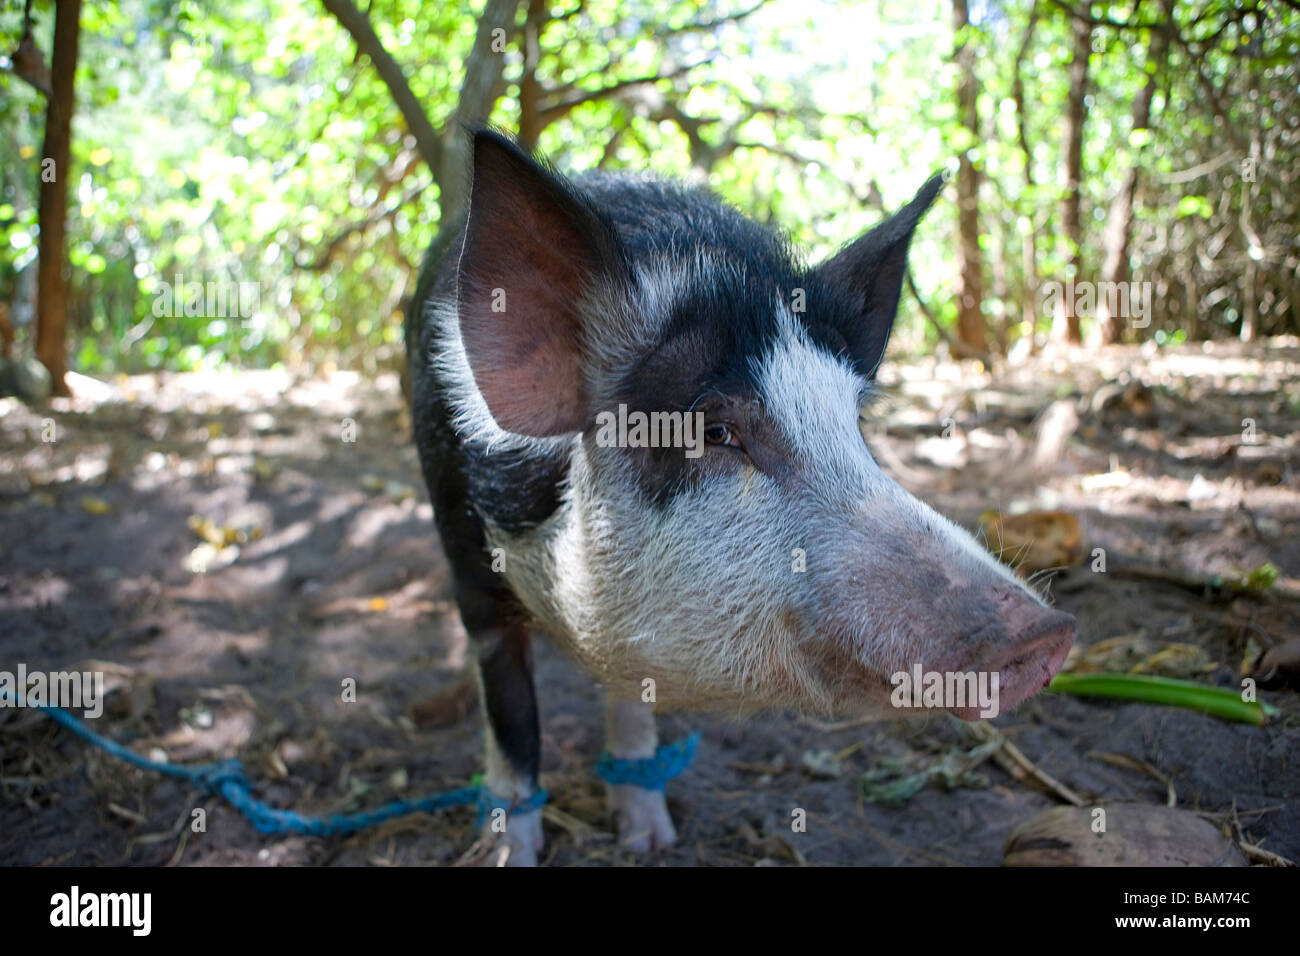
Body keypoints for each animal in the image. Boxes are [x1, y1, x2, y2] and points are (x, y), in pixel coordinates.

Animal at [406, 129, 1076, 865]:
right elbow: (513, 721)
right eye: (715, 430)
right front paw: (508, 852)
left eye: (854, 421)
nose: (1044, 632)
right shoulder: (469, 558)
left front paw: (652, 841)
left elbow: (632, 697)